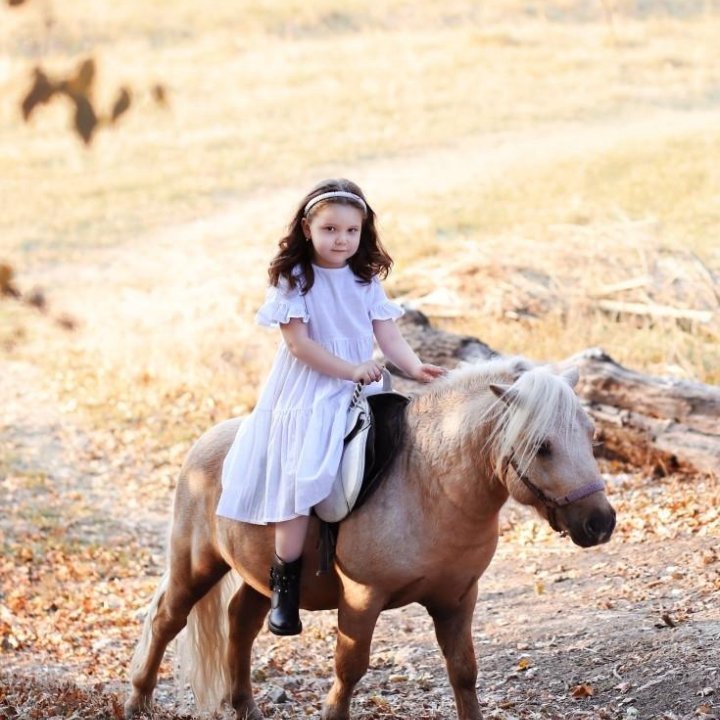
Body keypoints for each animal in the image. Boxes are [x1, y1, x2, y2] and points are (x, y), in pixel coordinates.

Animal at [124, 356, 612, 720]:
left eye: (591, 436)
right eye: (542, 446)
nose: (601, 523)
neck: (430, 483)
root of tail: (204, 443)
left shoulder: (458, 599)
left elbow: (463, 671)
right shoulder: (362, 598)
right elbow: (350, 669)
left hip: (257, 574)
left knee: (240, 623)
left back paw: (245, 707)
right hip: (196, 564)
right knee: (166, 619)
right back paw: (138, 702)